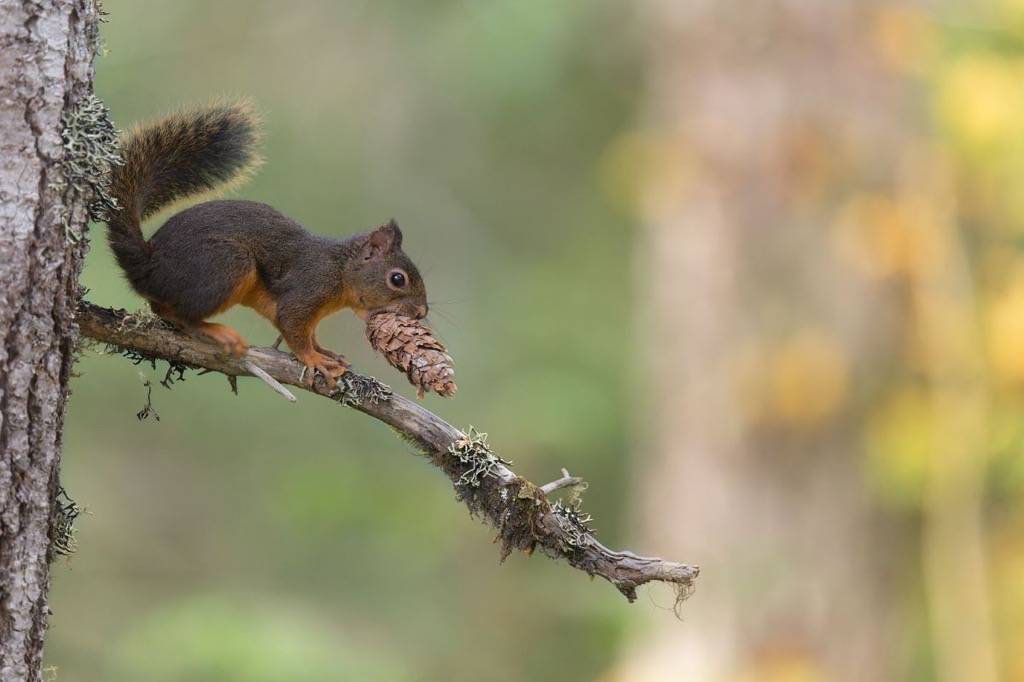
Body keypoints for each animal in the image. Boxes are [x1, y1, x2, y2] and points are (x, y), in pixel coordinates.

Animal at [104, 101, 428, 385]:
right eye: (397, 279)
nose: (422, 313)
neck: (340, 270)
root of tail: (147, 265)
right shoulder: (307, 289)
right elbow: (294, 329)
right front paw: (315, 359)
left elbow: (308, 333)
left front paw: (325, 351)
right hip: (227, 264)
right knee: (179, 314)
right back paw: (218, 332)